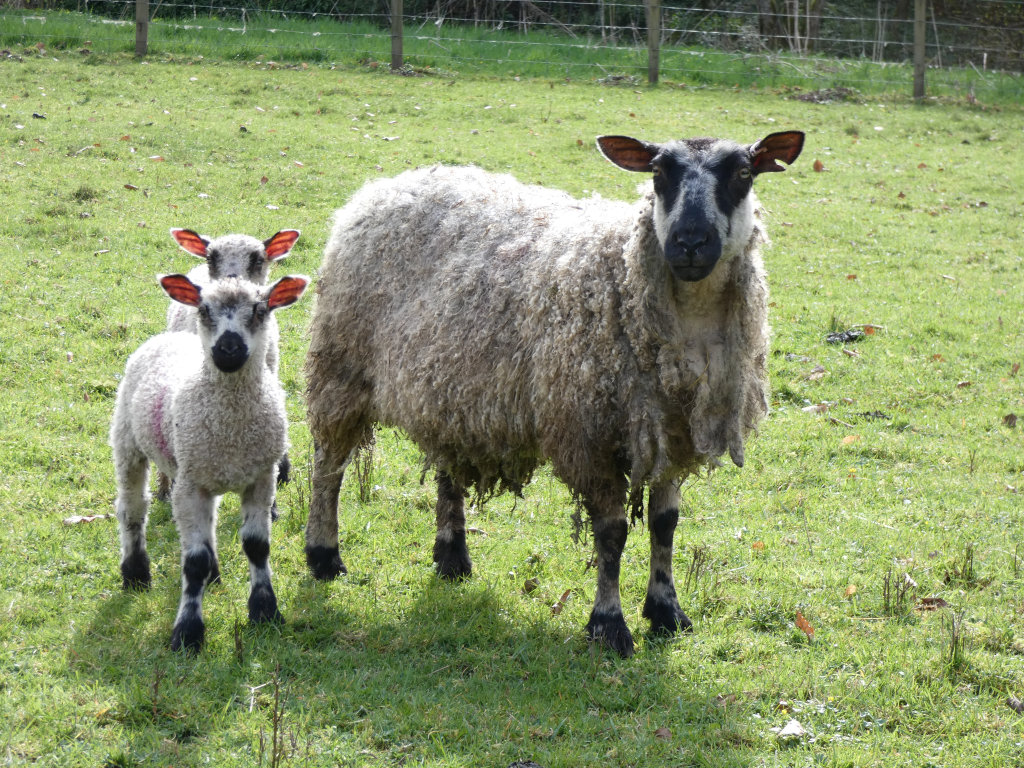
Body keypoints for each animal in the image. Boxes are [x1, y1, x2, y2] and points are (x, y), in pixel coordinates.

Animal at [111, 272, 309, 652]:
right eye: (204, 309)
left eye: (260, 309)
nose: (228, 349)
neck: (230, 427)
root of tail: (169, 336)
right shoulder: (190, 486)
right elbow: (194, 562)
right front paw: (188, 632)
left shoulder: (261, 478)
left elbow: (257, 547)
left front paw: (265, 611)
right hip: (128, 441)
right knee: (132, 508)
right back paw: (136, 574)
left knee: (208, 524)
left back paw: (214, 575)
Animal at [303, 130, 804, 657]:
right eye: (658, 172)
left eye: (743, 173)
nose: (689, 242)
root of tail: (386, 184)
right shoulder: (587, 434)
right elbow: (611, 532)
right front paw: (609, 625)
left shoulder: (671, 431)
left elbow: (665, 523)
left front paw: (667, 611)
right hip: (341, 364)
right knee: (328, 466)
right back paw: (324, 556)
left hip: (451, 387)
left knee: (447, 466)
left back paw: (452, 557)